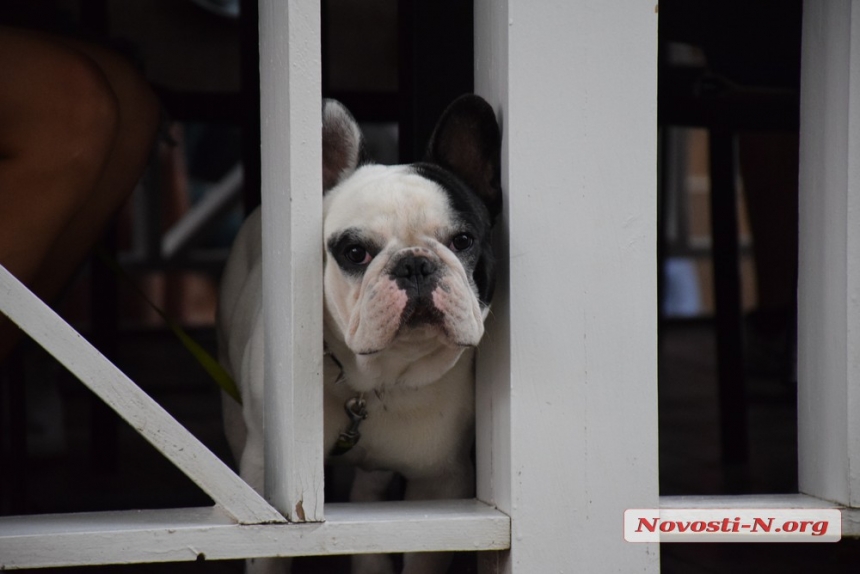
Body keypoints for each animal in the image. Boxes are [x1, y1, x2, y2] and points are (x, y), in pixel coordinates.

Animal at [217, 95, 504, 574]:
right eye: (354, 252)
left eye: (463, 240)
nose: (414, 264)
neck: (379, 380)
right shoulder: (264, 486)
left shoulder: (440, 487)